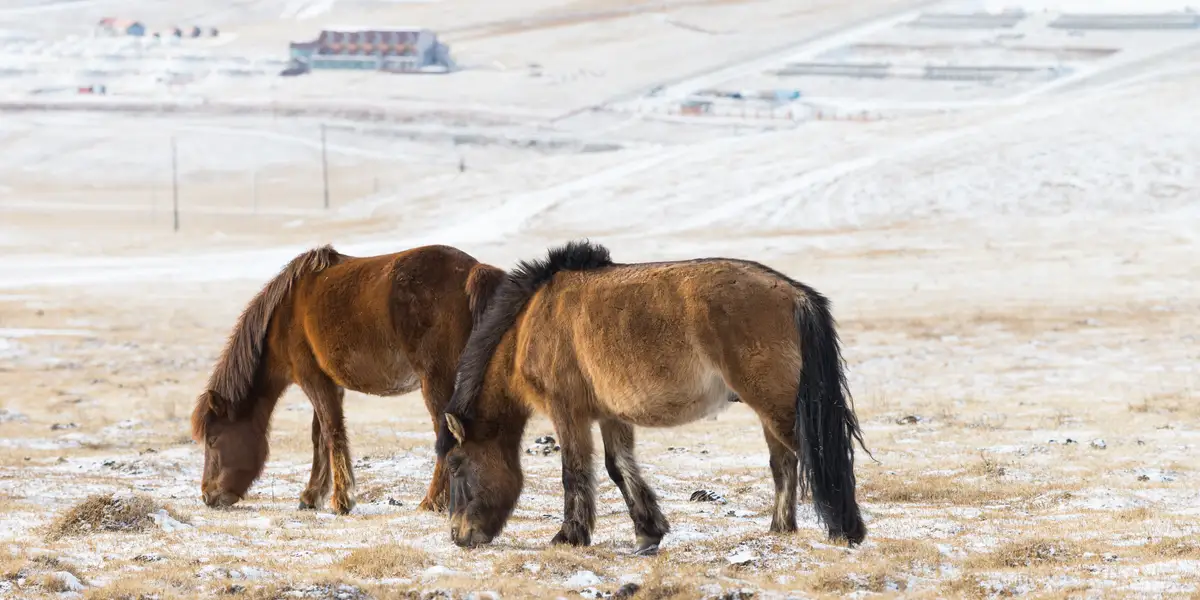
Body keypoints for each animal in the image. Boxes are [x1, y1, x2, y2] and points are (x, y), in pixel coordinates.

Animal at [190, 244, 504, 515]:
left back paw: (432, 501)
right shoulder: (330, 384)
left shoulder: (313, 380)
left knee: (445, 431)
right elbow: (318, 436)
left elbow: (332, 432)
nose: (207, 495)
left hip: (436, 381)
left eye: (213, 439)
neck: (284, 315)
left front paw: (341, 500)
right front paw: (312, 495)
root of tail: (473, 270)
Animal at [436, 240, 868, 554]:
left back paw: (846, 532)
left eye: (456, 465)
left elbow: (574, 472)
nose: (459, 536)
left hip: (776, 404)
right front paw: (648, 532)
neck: (531, 323)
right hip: (768, 409)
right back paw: (780, 530)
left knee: (813, 455)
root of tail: (796, 295)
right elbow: (619, 468)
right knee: (784, 463)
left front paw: (569, 536)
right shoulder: (609, 415)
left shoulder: (568, 413)